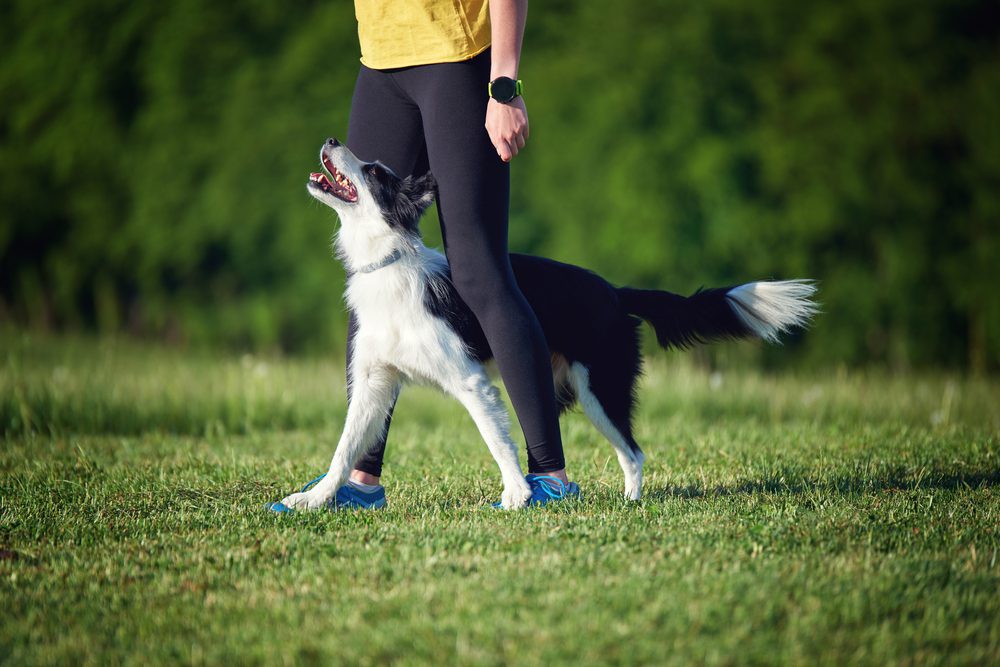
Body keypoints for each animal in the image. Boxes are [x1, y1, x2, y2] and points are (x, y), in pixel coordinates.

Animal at [278, 137, 816, 512]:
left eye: (373, 172)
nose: (331, 139)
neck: (388, 263)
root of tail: (614, 291)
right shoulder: (374, 383)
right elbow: (345, 448)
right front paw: (315, 499)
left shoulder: (471, 381)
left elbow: (497, 439)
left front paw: (516, 496)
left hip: (601, 387)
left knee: (633, 451)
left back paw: (627, 505)